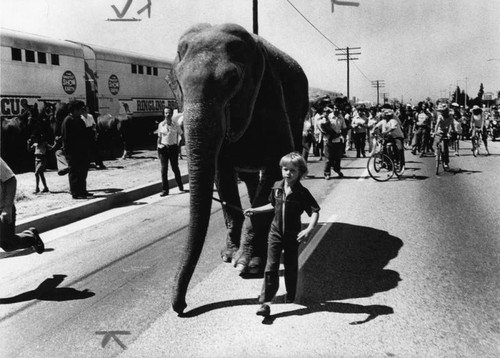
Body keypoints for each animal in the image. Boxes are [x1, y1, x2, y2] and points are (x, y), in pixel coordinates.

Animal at [169, 23, 308, 314]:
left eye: (233, 80)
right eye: (178, 82)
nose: (182, 306)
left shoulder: (269, 92)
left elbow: (277, 162)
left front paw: (247, 264)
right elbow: (221, 174)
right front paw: (229, 256)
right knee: (248, 177)